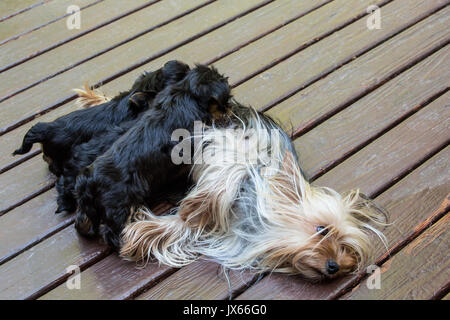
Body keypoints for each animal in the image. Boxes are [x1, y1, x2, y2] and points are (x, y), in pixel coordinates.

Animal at [74, 64, 232, 250]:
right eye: (226, 100)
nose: (230, 110)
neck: (187, 92)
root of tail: (88, 179)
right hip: (119, 205)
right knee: (112, 232)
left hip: (88, 204)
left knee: (83, 221)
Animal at [119, 102, 386, 280]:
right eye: (321, 229)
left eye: (346, 248)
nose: (335, 267)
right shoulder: (240, 142)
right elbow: (230, 170)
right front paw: (198, 207)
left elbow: (186, 226)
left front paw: (144, 233)